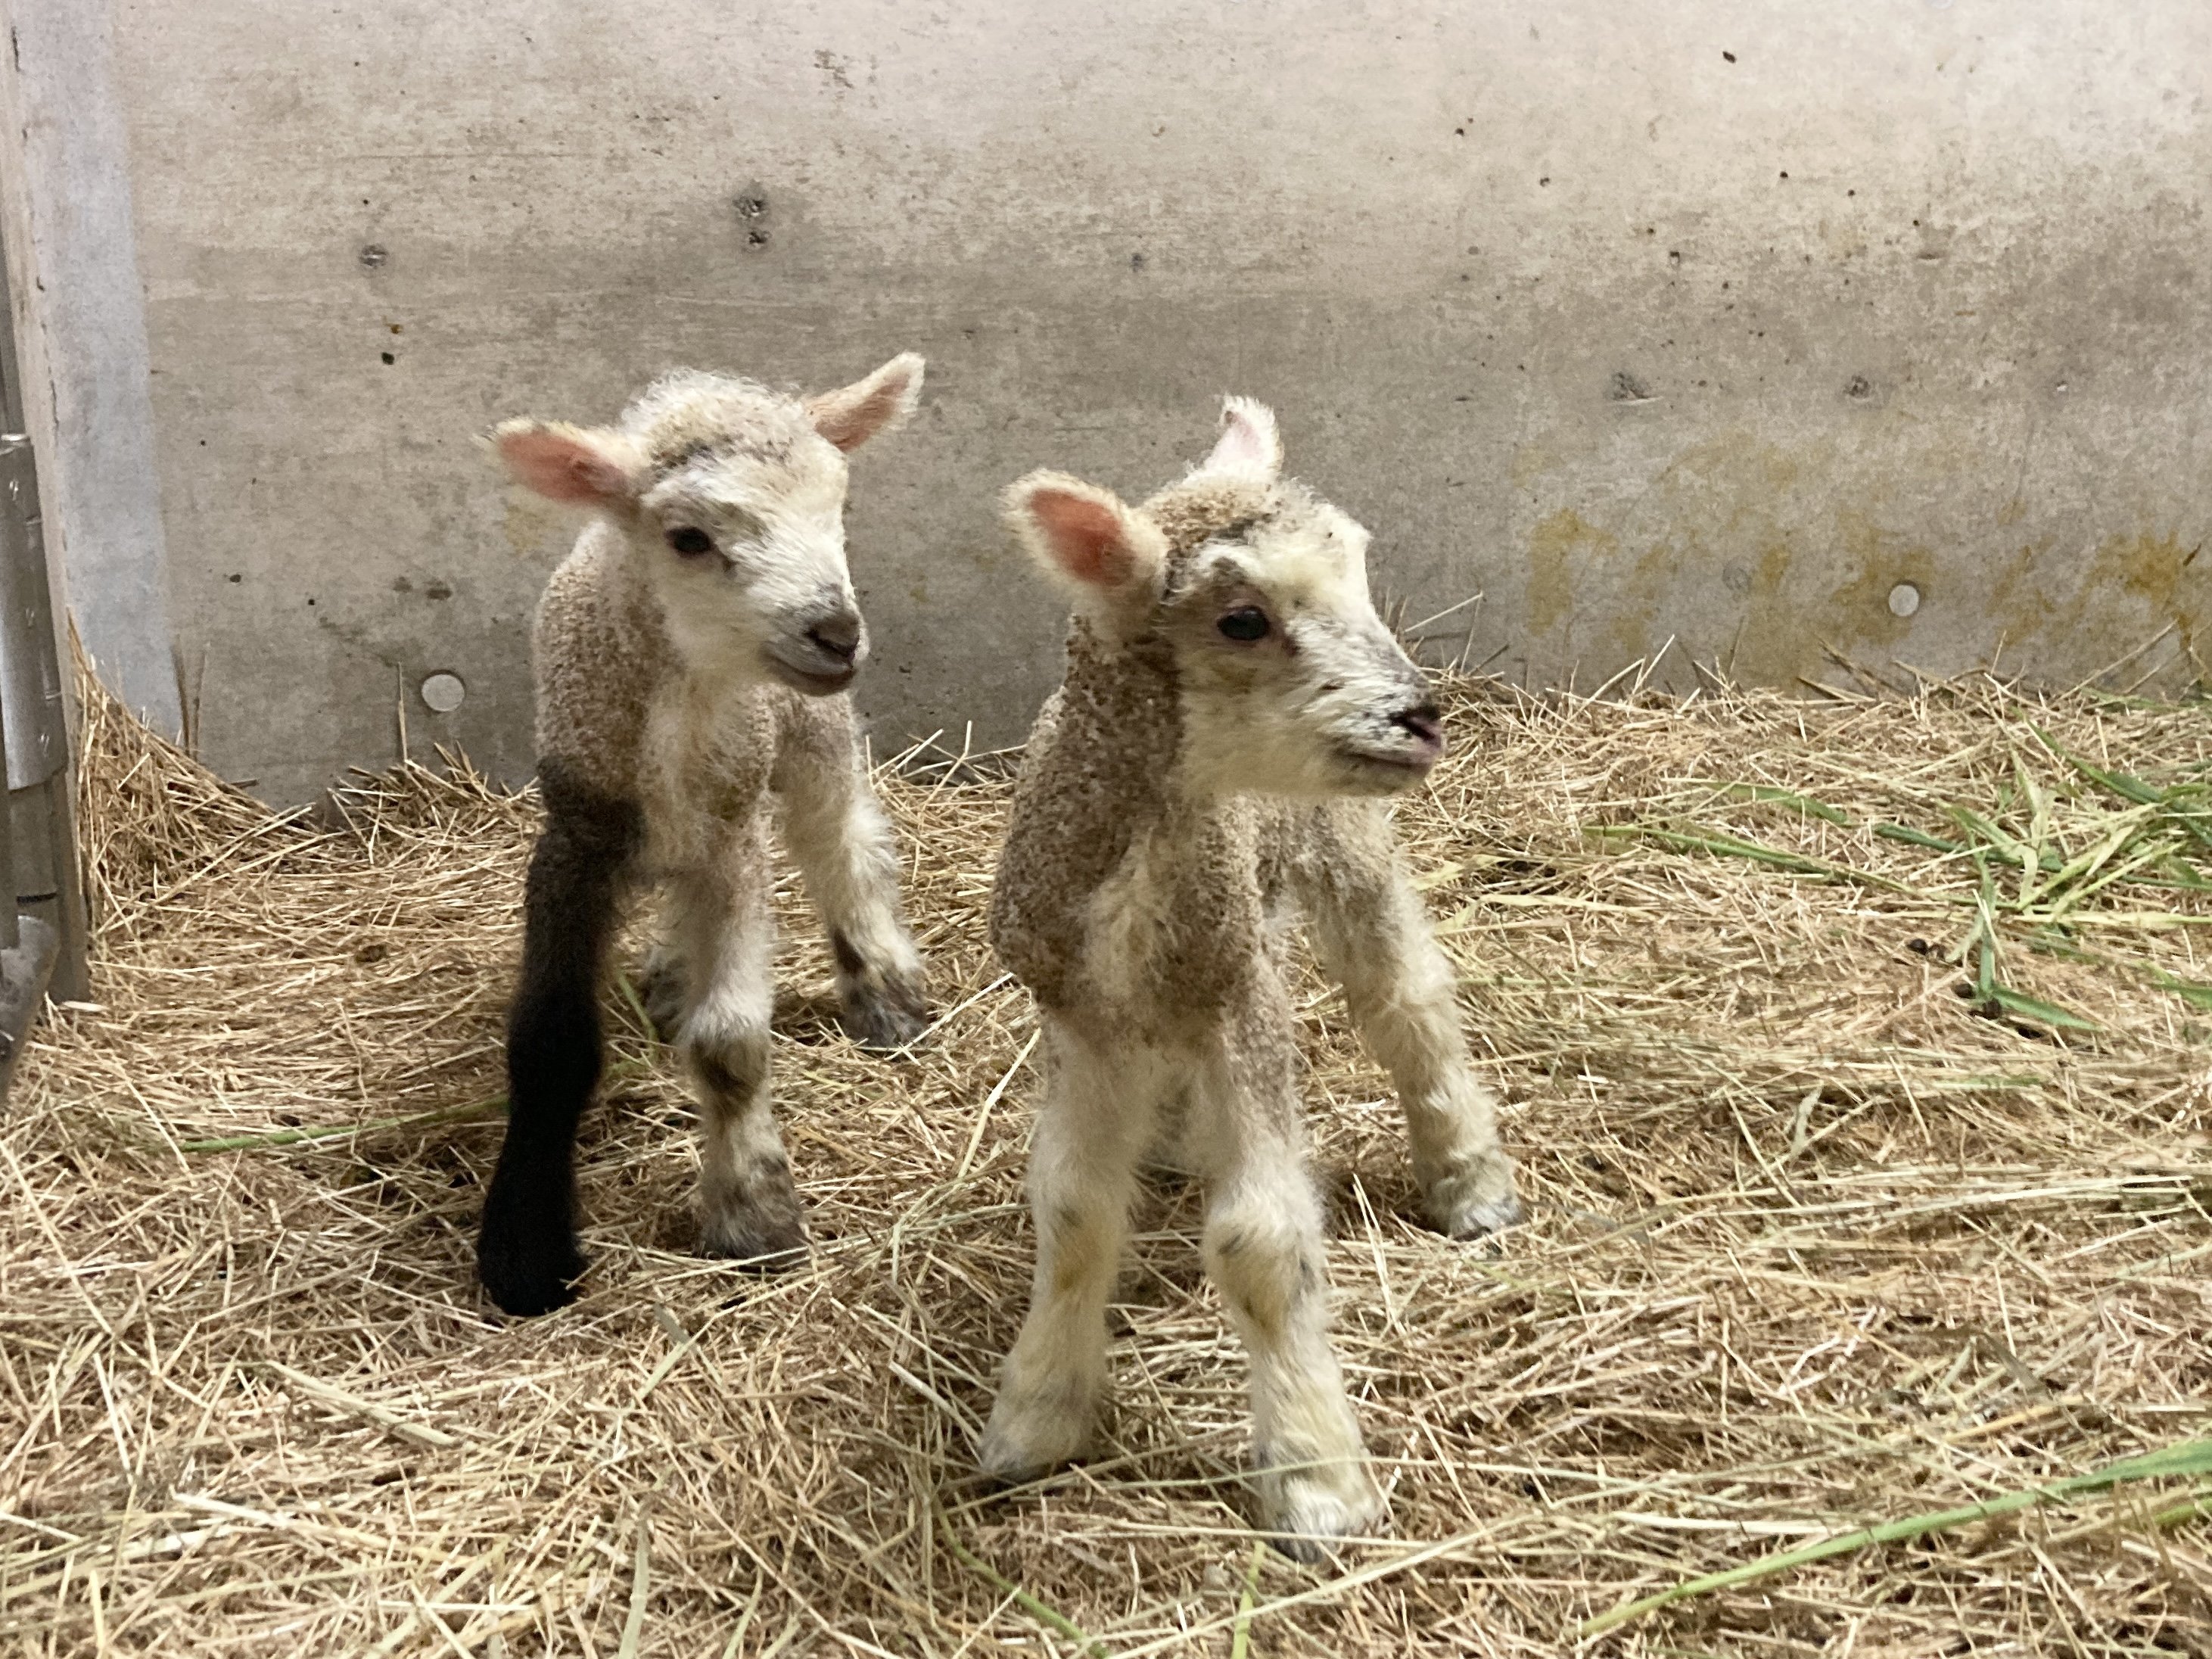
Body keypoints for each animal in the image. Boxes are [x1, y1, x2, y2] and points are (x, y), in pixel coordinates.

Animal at [480, 358, 929, 1318]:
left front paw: (754, 1215)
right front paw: (525, 1248)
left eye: (837, 506)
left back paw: (884, 990)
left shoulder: (733, 844)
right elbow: (547, 1041)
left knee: (841, 843)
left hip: (811, 734)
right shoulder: (574, 837)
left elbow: (730, 1045)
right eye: (688, 538)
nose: (836, 632)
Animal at [982, 400, 1522, 1557]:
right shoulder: (1079, 1015)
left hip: (1345, 843)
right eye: (1241, 620)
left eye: (1359, 570)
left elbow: (1260, 1241)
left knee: (1404, 1002)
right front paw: (1036, 1415)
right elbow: (1074, 1212)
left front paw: (1317, 1479)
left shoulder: (1244, 1002)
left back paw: (1469, 1180)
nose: (1419, 716)